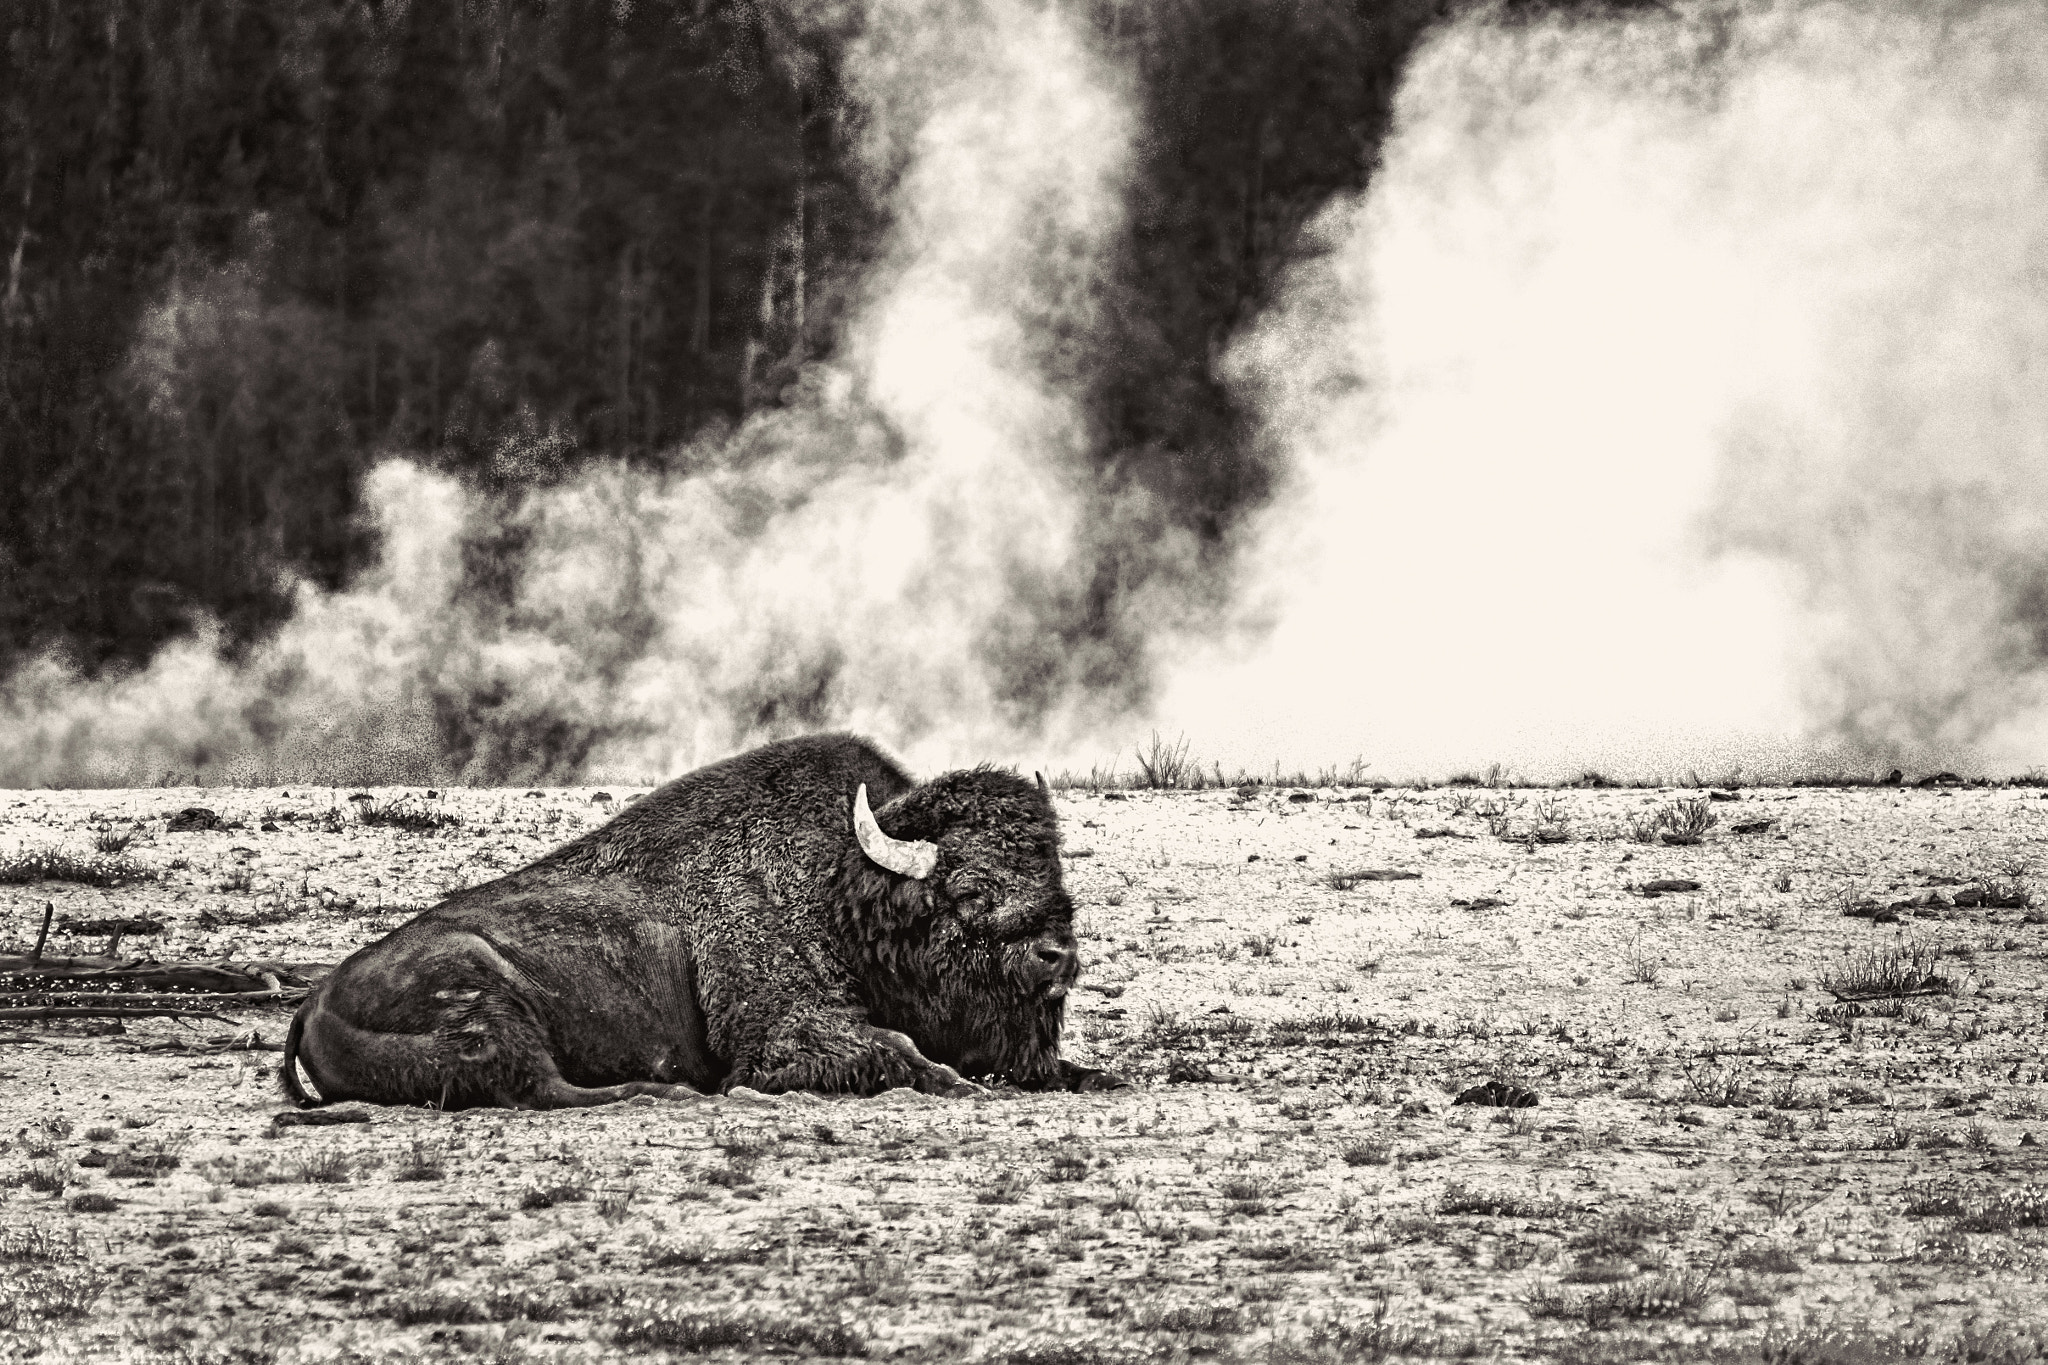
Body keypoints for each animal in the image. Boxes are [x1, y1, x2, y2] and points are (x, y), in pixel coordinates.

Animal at [280, 734, 1121, 1108]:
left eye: (1055, 871)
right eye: (969, 889)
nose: (1056, 955)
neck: (838, 885)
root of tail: (312, 1001)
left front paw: (1098, 1074)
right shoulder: (786, 1031)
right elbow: (898, 1051)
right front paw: (957, 1084)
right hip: (484, 1001)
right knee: (538, 1085)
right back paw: (662, 1093)